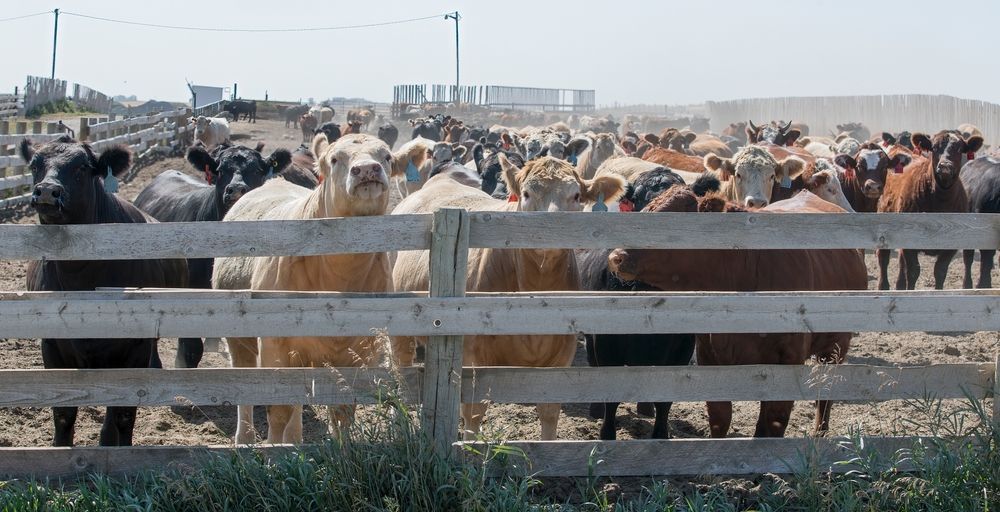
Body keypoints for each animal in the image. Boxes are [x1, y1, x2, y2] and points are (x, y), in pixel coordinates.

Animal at [21, 136, 188, 446]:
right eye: (35, 165)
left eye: (82, 167)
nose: (47, 191)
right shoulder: (52, 345)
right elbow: (63, 412)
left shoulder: (134, 348)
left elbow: (123, 411)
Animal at [211, 134, 393, 444]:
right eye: (334, 158)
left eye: (387, 156)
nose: (368, 170)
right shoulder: (275, 344)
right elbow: (279, 408)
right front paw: (274, 449)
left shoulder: (359, 349)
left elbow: (342, 410)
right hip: (242, 341)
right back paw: (245, 437)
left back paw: (294, 438)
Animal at [390, 156, 626, 440]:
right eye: (526, 193)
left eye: (576, 195)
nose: (551, 228)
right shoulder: (473, 357)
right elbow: (473, 412)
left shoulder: (562, 354)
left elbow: (550, 412)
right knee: (403, 374)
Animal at [608, 188, 867, 438]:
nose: (616, 256)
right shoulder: (710, 355)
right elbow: (720, 417)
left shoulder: (789, 361)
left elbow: (775, 421)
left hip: (836, 346)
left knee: (825, 393)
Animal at [877, 131, 984, 290]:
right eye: (934, 148)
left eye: (959, 149)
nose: (945, 166)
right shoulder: (910, 241)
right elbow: (913, 271)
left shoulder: (952, 245)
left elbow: (940, 271)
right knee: (883, 258)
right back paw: (883, 286)